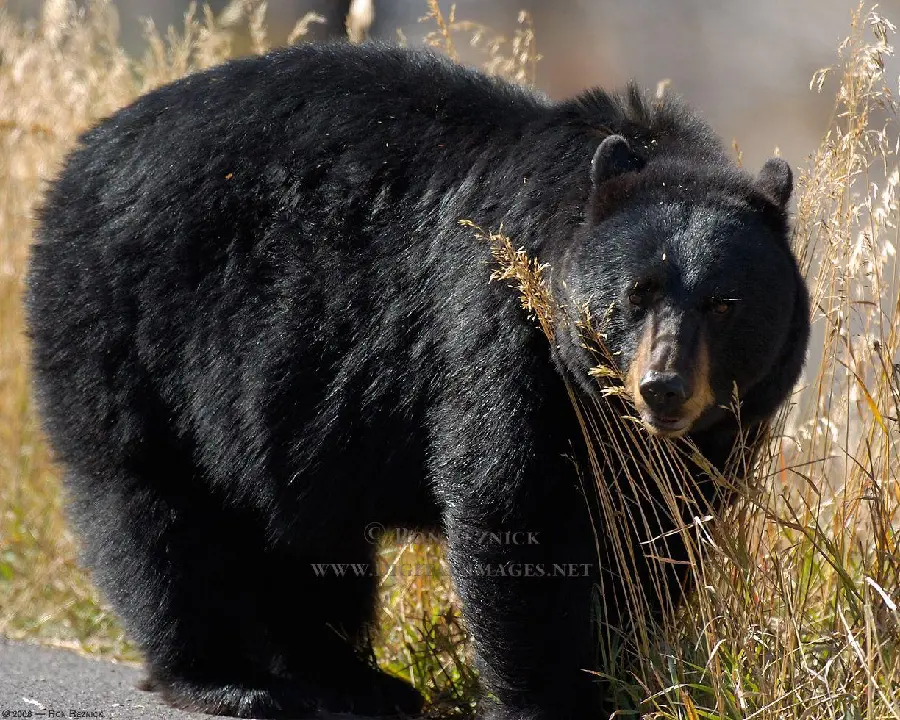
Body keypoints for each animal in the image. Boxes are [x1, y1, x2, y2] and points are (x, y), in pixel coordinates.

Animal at [22, 42, 808, 716]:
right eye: (636, 293)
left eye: (724, 303)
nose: (662, 388)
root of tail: (80, 159)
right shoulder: (503, 328)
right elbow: (513, 505)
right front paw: (552, 697)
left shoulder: (709, 433)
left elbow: (659, 528)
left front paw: (626, 670)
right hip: (134, 331)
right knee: (156, 511)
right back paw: (223, 679)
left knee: (305, 536)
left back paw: (351, 679)